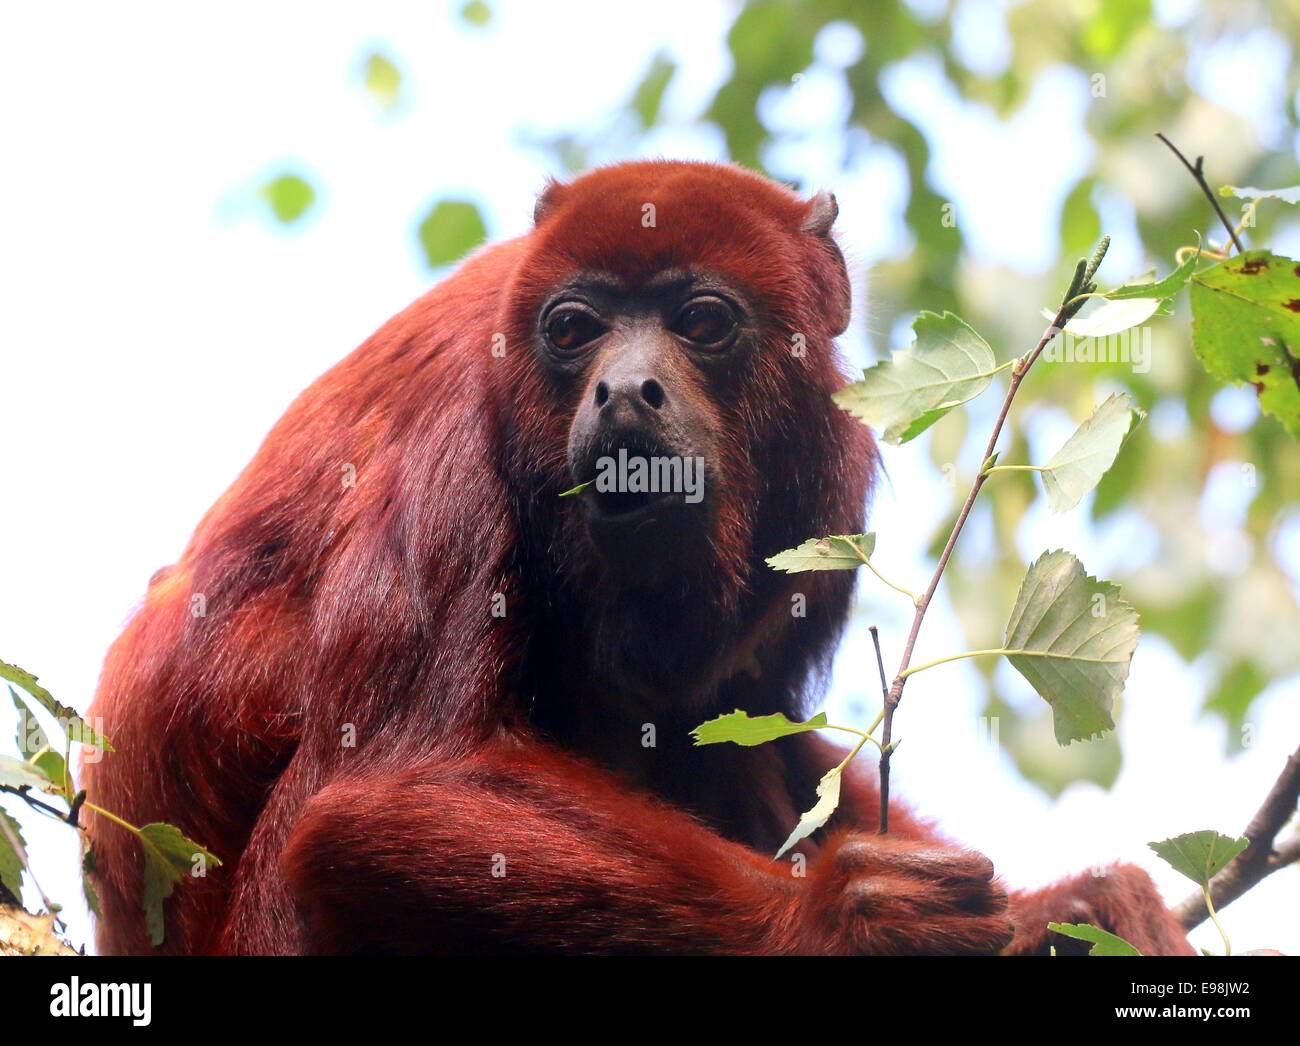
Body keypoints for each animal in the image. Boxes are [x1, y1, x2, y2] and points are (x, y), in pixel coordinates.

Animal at [86, 159, 1190, 951]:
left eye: (701, 320)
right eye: (573, 329)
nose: (622, 392)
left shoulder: (828, 488)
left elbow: (766, 737)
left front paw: (1063, 910)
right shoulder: (454, 431)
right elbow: (380, 791)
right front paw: (838, 916)